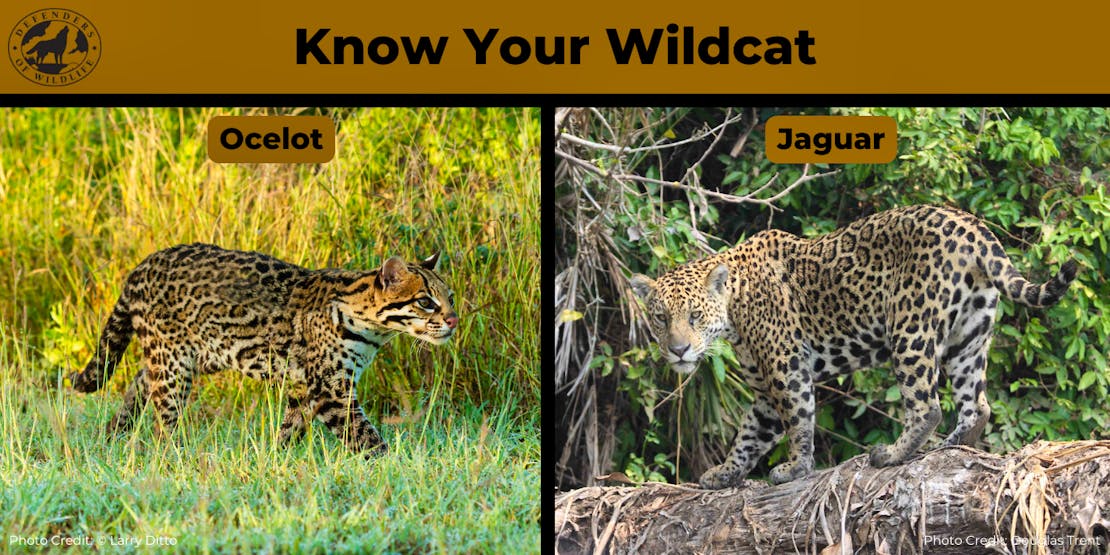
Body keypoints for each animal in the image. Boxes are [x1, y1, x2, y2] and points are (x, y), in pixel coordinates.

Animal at [70, 243, 458, 454]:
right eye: (425, 302)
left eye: (450, 298)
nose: (454, 320)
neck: (373, 329)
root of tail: (142, 265)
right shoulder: (330, 389)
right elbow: (366, 436)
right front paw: (394, 467)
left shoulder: (306, 387)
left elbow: (291, 427)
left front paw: (278, 457)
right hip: (173, 365)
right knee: (163, 415)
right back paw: (171, 455)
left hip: (196, 355)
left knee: (140, 380)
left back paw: (113, 432)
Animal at [630, 205, 1077, 488]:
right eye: (661, 318)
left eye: (694, 316)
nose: (678, 351)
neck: (735, 307)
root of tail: (973, 226)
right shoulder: (763, 390)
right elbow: (750, 435)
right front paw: (724, 474)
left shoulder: (786, 365)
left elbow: (798, 421)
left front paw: (795, 469)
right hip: (968, 336)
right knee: (977, 405)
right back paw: (950, 447)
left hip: (910, 328)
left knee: (927, 406)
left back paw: (892, 455)